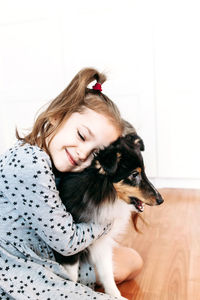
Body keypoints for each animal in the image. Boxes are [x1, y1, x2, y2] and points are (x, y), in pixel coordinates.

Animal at [54, 132, 163, 298]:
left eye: (144, 171)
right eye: (134, 174)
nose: (161, 200)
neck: (100, 192)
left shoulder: (101, 241)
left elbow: (107, 272)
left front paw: (116, 295)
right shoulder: (66, 247)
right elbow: (71, 277)